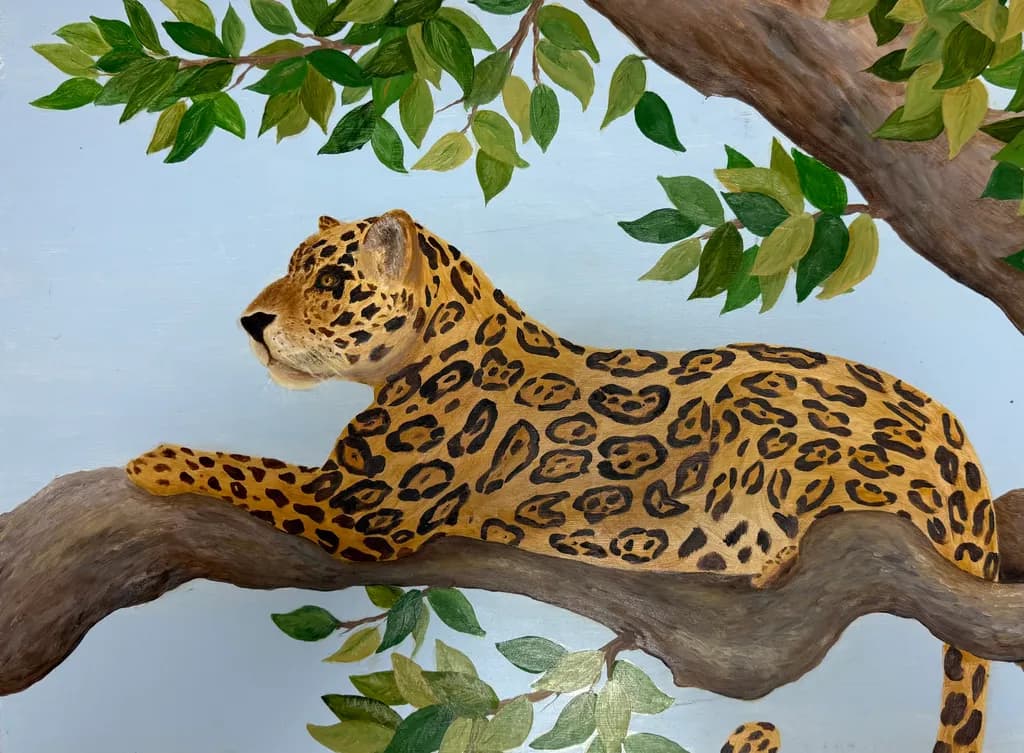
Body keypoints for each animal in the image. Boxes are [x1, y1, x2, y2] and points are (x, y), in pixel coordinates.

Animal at [128, 210, 997, 753]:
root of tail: (956, 439)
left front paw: (155, 461)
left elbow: (247, 467)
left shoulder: (360, 505)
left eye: (329, 282)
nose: (250, 322)